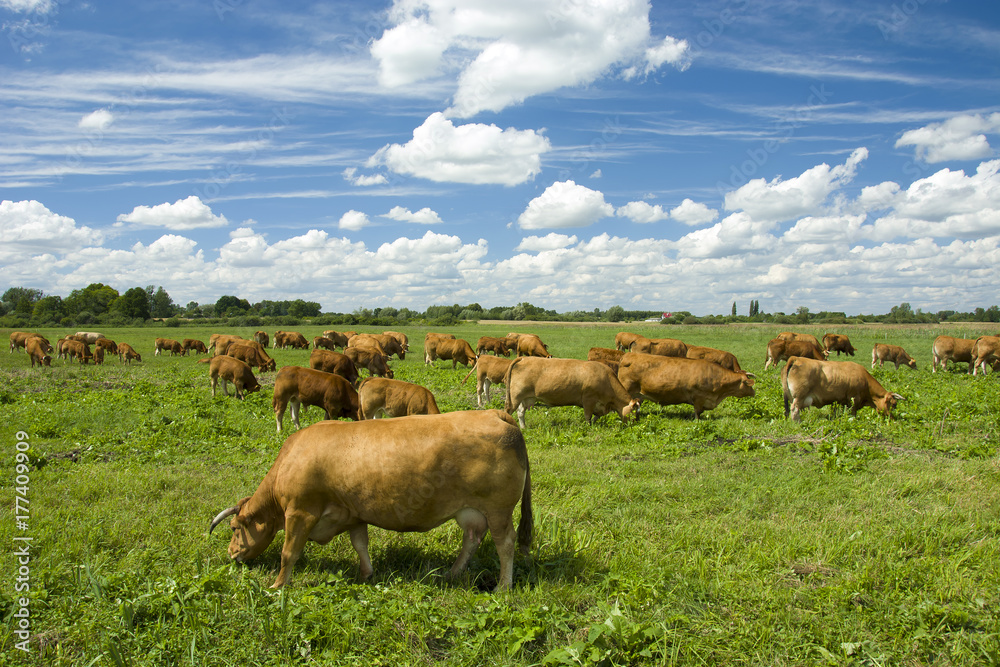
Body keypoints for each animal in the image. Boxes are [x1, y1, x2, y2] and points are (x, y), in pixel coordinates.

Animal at [208, 410, 532, 590]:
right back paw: (452, 573)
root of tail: (494, 413)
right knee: (472, 540)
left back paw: (503, 586)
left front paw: (277, 584)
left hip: (498, 509)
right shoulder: (353, 513)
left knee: (505, 543)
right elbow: (360, 544)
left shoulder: (300, 512)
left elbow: (289, 553)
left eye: (235, 529)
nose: (231, 553)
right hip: (471, 511)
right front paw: (366, 574)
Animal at [504, 356, 639, 429]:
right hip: (515, 397)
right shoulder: (588, 399)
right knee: (508, 411)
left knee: (521, 413)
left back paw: (523, 427)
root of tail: (524, 358)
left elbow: (596, 416)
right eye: (634, 411)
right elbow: (588, 416)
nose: (636, 423)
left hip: (525, 398)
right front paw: (588, 427)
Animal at [617, 352, 756, 420]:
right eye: (748, 384)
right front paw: (696, 421)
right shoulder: (699, 398)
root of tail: (627, 355)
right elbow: (697, 412)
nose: (754, 392)